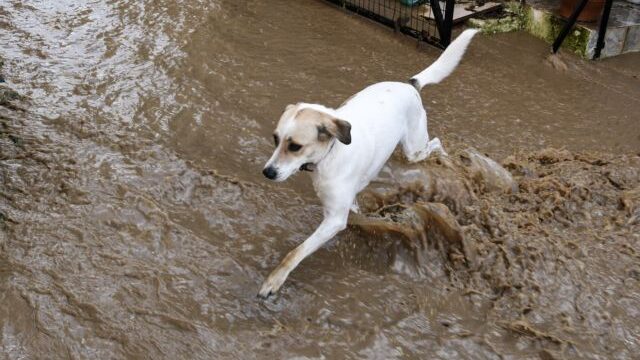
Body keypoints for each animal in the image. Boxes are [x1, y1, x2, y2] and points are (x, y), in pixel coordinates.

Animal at [258, 28, 476, 298]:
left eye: (295, 146)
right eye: (275, 139)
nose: (267, 172)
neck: (331, 153)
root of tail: (409, 85)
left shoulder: (335, 219)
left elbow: (295, 252)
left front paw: (274, 281)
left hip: (414, 149)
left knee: (436, 142)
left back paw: (445, 159)